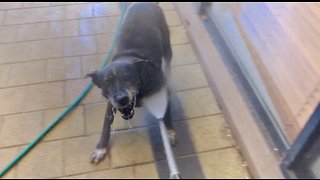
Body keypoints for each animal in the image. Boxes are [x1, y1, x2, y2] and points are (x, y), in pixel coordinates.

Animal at [86, 2, 174, 164]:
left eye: (128, 78)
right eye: (106, 84)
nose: (122, 99)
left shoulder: (162, 90)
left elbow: (166, 112)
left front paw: (169, 132)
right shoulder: (111, 103)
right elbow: (106, 125)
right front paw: (100, 148)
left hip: (167, 45)